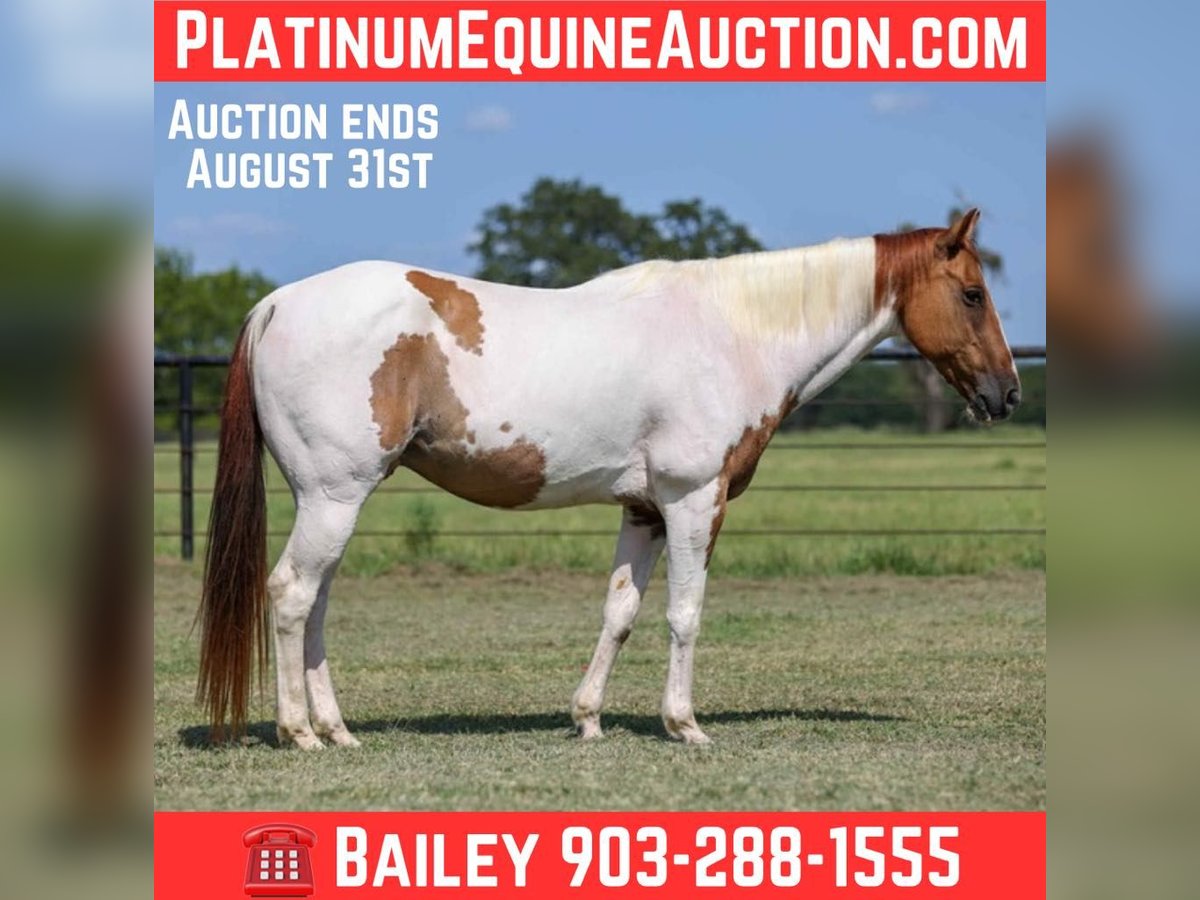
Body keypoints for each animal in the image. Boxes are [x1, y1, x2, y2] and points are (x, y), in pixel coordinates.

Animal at [196, 208, 1020, 749]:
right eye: (973, 294)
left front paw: (587, 718)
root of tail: (277, 303)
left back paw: (337, 730)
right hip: (334, 498)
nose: (1008, 394)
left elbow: (619, 612)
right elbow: (685, 614)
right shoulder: (694, 501)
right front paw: (685, 726)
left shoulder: (643, 510)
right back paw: (300, 733)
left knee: (316, 605)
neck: (734, 333)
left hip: (333, 502)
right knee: (292, 594)